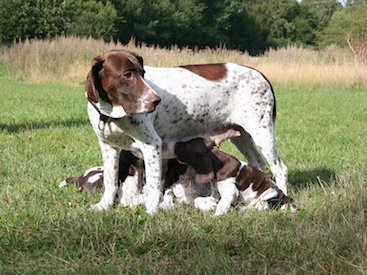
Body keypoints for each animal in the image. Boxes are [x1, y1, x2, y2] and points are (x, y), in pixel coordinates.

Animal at [85, 50, 288, 217]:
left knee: (280, 169)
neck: (111, 114)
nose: (156, 101)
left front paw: (151, 211)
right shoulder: (109, 148)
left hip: (261, 131)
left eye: (142, 74)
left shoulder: (152, 146)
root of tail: (260, 74)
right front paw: (103, 206)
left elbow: (153, 186)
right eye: (127, 75)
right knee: (257, 162)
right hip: (243, 136)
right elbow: (110, 182)